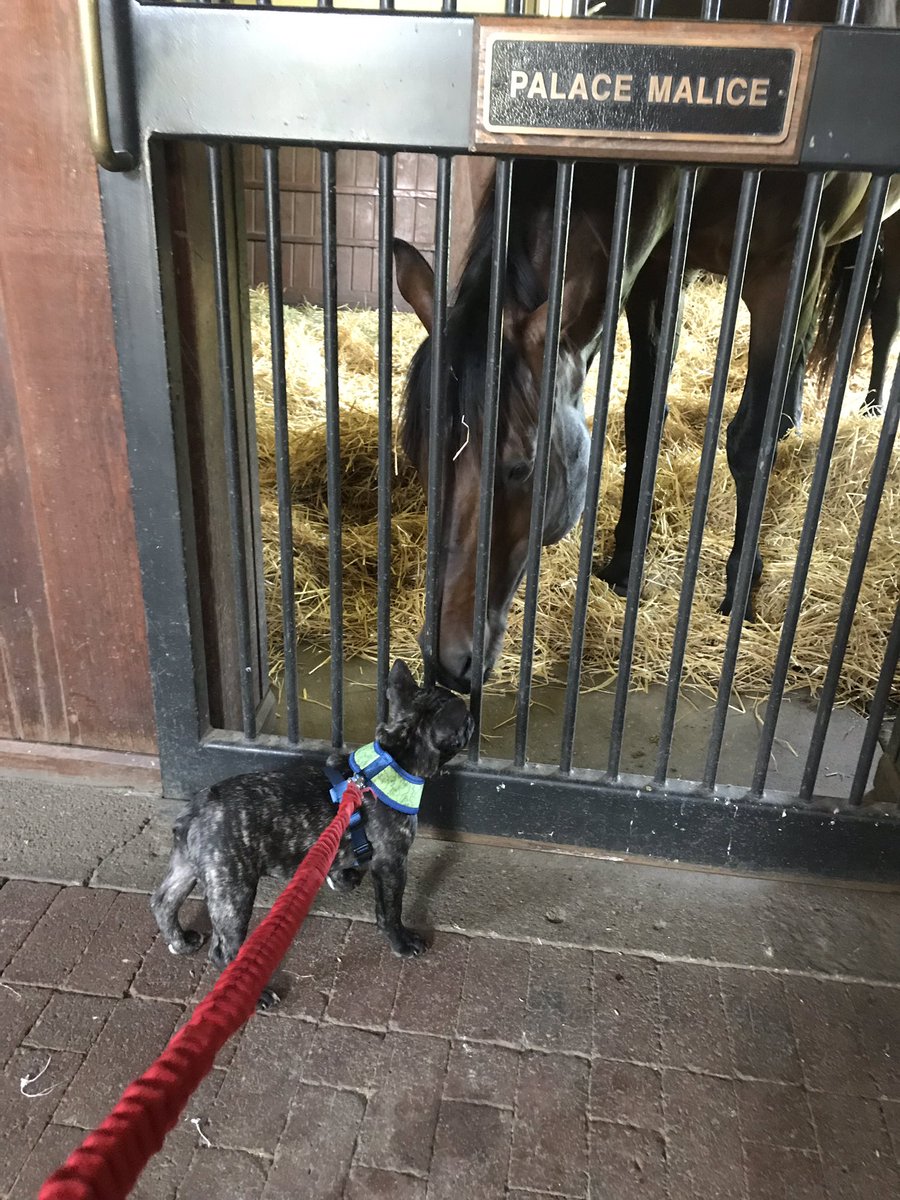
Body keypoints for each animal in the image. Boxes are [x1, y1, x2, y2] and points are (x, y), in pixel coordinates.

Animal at [394, 0, 900, 694]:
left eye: (520, 469)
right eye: (419, 458)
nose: (447, 662)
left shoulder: (784, 269)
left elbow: (748, 440)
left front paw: (741, 590)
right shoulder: (657, 267)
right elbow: (641, 417)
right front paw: (624, 561)